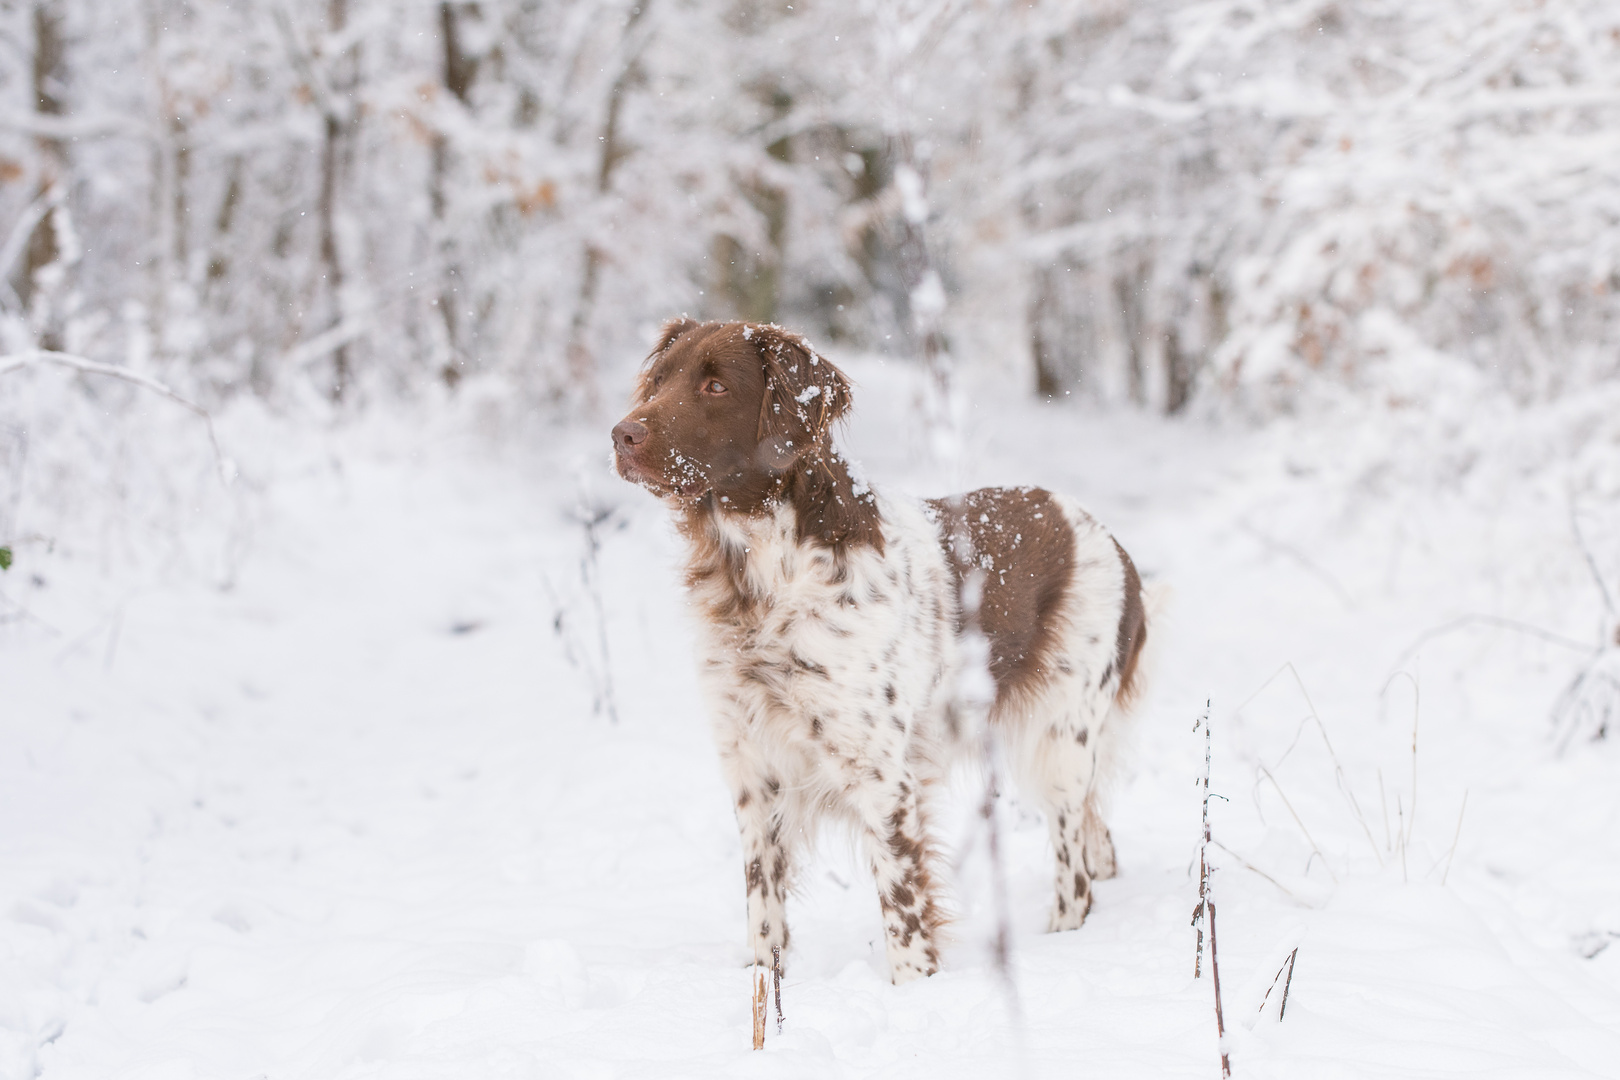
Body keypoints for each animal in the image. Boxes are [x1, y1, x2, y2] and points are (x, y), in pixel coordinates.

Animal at [609, 317, 1153, 984]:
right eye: (658, 380)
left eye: (715, 385)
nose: (621, 434)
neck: (762, 581)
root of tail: (1110, 540)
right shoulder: (754, 773)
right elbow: (764, 909)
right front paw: (764, 985)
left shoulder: (883, 778)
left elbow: (903, 909)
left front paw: (913, 989)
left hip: (1059, 744)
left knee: (1074, 874)